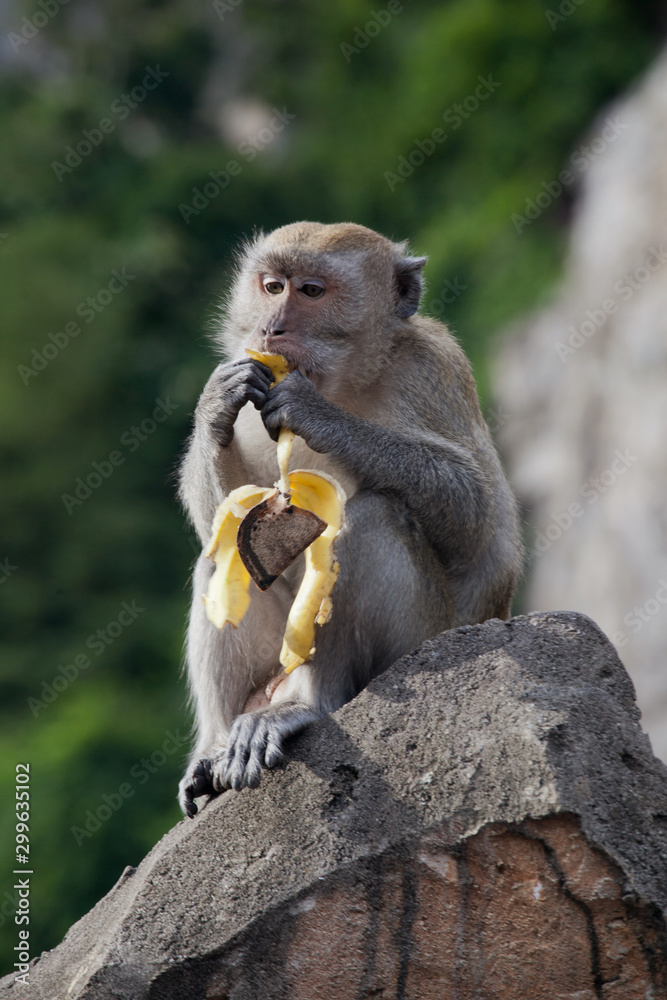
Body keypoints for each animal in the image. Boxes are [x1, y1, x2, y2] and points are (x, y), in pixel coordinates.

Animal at [177, 223, 520, 816]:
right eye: (272, 286)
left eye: (312, 291)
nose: (272, 326)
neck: (346, 380)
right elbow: (224, 517)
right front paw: (216, 403)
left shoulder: (431, 371)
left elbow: (474, 516)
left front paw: (317, 416)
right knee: (226, 554)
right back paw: (215, 750)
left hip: (417, 644)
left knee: (375, 517)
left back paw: (308, 706)